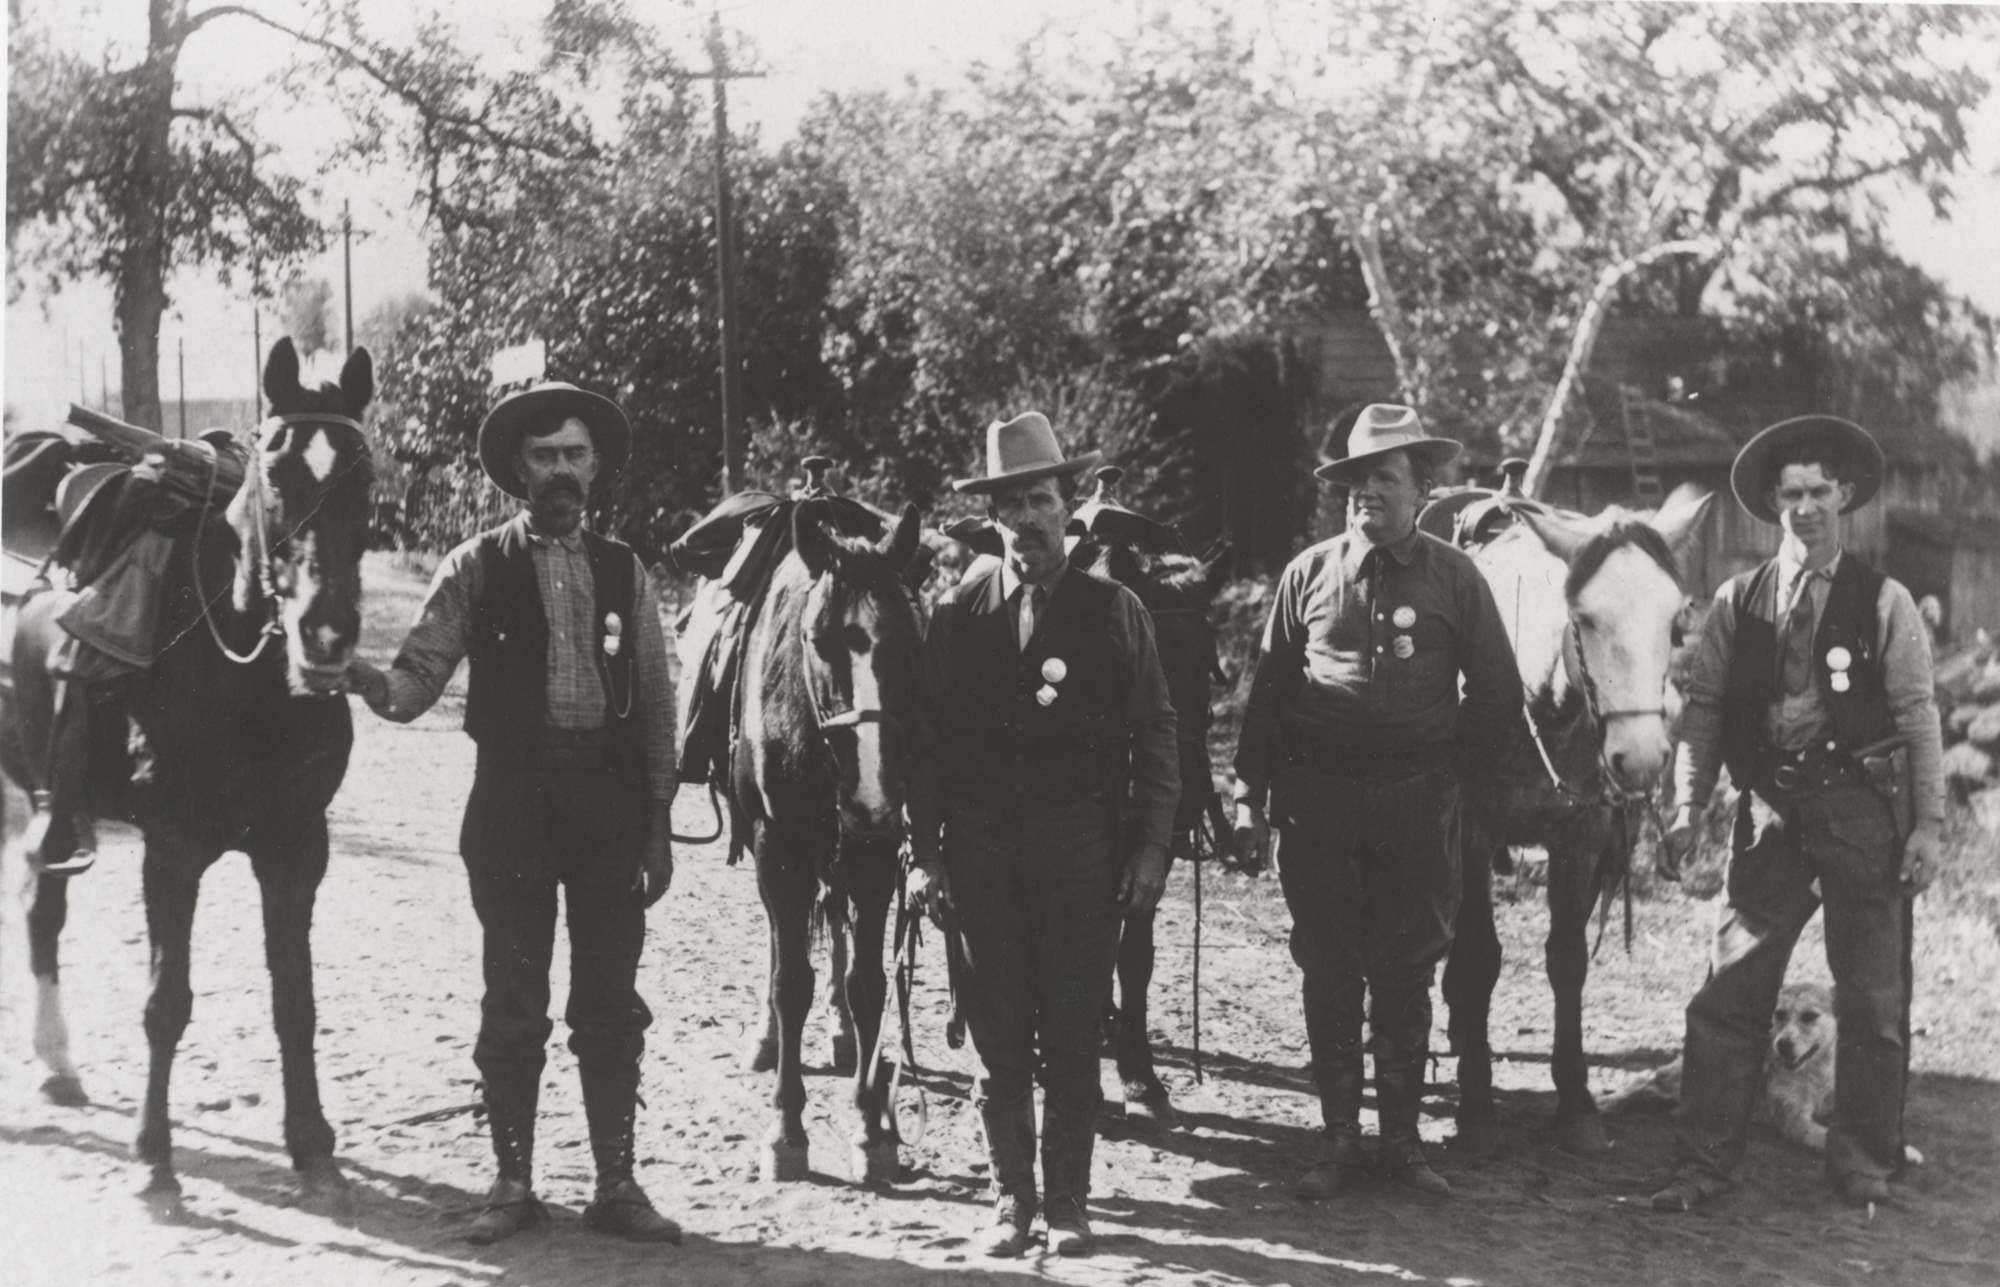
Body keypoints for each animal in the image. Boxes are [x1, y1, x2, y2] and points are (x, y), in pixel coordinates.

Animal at [0, 339, 376, 1207]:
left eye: (366, 477)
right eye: (275, 474)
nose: (327, 632)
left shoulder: (296, 847)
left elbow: (295, 999)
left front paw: (312, 1147)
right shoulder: (171, 848)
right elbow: (165, 1002)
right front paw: (154, 1157)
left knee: (40, 897)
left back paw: (57, 1063)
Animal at [672, 487, 920, 1183]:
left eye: (907, 637)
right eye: (817, 639)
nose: (871, 795)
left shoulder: (873, 855)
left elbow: (867, 984)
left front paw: (871, 1128)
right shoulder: (779, 851)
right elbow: (790, 983)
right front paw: (786, 1129)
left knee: (831, 926)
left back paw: (842, 1035)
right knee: (782, 947)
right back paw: (767, 1038)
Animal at [1432, 483, 1712, 1159]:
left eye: (1675, 624)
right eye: (1583, 619)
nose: (1641, 757)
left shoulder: (1579, 837)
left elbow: (1567, 959)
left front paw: (1576, 1103)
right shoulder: (1472, 831)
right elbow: (1480, 955)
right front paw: (1476, 1106)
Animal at [1600, 987, 1912, 1167]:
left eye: (1809, 1016)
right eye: (1779, 1014)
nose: (1783, 1044)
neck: (1815, 1068)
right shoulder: (1796, 1122)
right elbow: (1829, 1137)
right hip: (1672, 1079)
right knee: (1641, 1082)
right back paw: (1609, 1103)